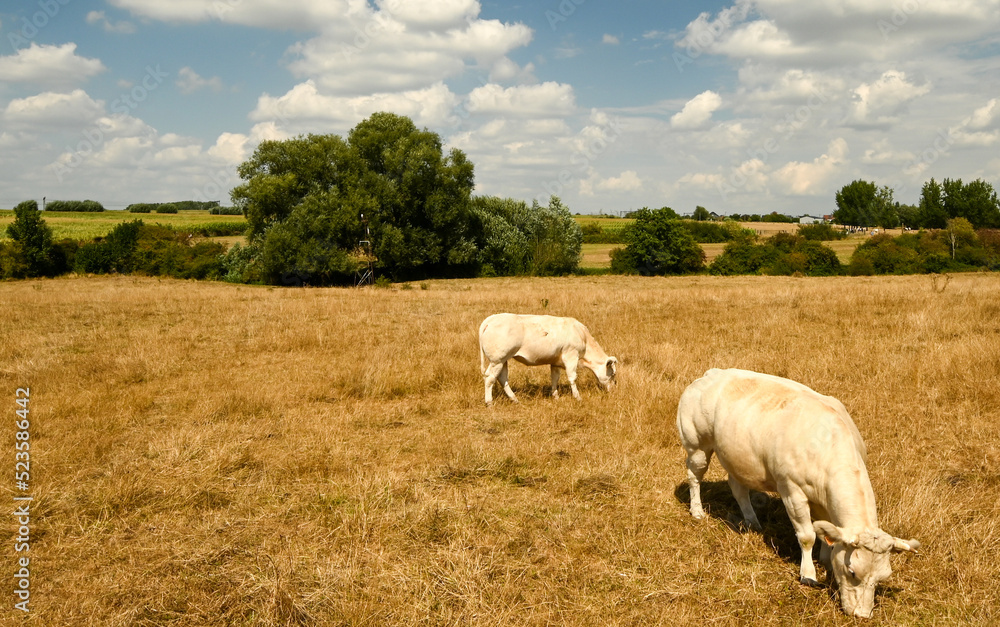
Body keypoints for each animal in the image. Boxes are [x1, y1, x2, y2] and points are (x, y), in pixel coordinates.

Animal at [478, 314, 616, 408]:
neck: (582, 335)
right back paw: (489, 403)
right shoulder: (571, 356)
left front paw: (556, 396)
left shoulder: (555, 362)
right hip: (497, 361)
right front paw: (578, 397)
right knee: (490, 379)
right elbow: (572, 378)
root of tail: (490, 319)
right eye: (613, 374)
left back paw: (514, 399)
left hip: (503, 361)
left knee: (502, 378)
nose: (613, 389)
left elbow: (554, 378)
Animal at [676, 368, 916, 620]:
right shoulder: (792, 490)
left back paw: (752, 521)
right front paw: (808, 573)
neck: (827, 445)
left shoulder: (823, 498)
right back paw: (697, 511)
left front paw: (825, 559)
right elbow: (807, 535)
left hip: (737, 457)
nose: (861, 614)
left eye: (883, 577)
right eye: (852, 571)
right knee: (694, 476)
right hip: (697, 445)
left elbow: (824, 530)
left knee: (738, 487)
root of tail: (713, 373)